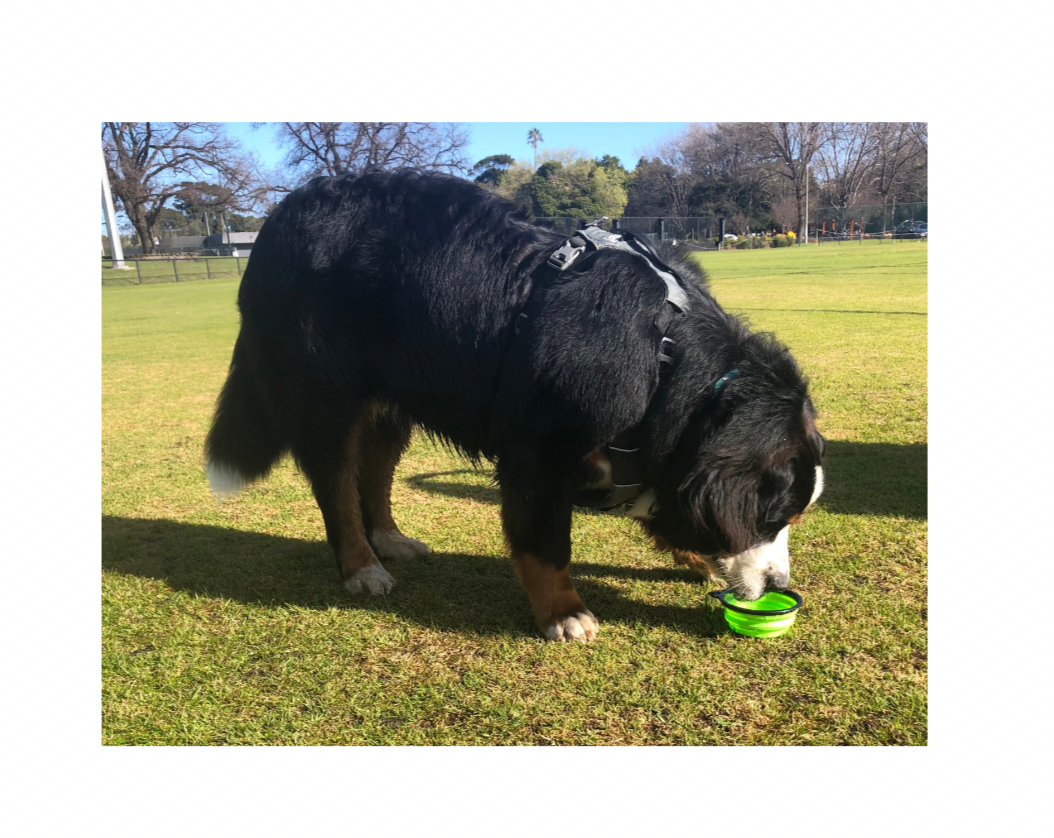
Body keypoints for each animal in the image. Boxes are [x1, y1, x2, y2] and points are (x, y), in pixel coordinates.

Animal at [205, 168, 826, 640]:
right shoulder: (539, 450)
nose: (779, 587)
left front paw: (693, 556)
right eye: (774, 517)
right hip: (326, 399)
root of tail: (278, 219)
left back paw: (389, 539)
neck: (665, 358)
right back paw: (362, 566)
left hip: (392, 403)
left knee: (373, 474)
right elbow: (545, 542)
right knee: (336, 487)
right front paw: (564, 613)